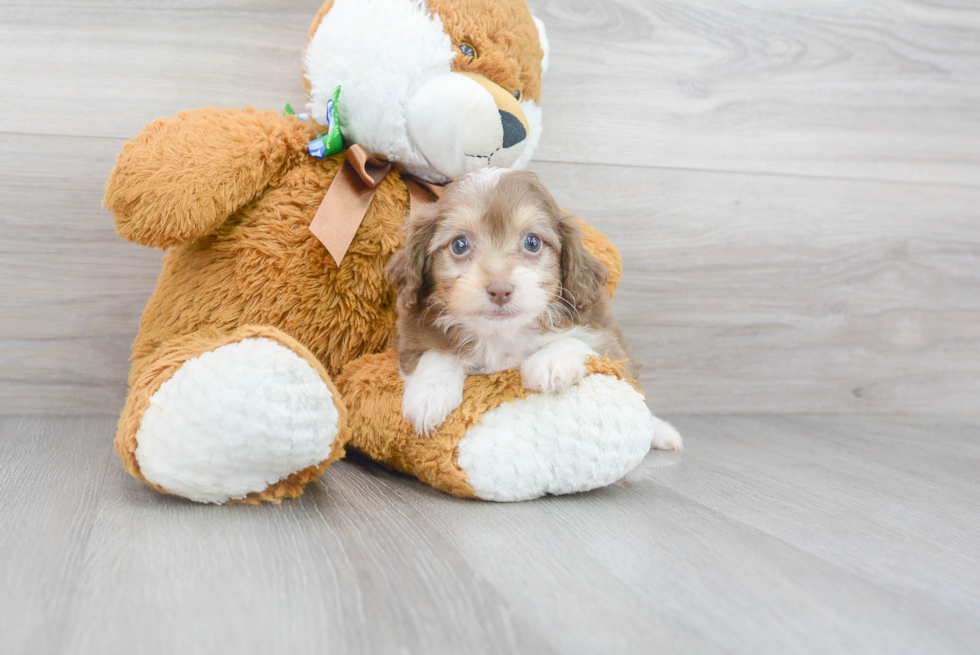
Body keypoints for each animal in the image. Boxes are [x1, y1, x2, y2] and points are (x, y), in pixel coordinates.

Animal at [386, 168, 676, 452]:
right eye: (460, 245)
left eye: (532, 242)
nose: (499, 290)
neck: (502, 335)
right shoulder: (413, 330)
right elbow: (435, 351)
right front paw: (429, 394)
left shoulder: (606, 337)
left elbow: (583, 339)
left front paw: (551, 363)